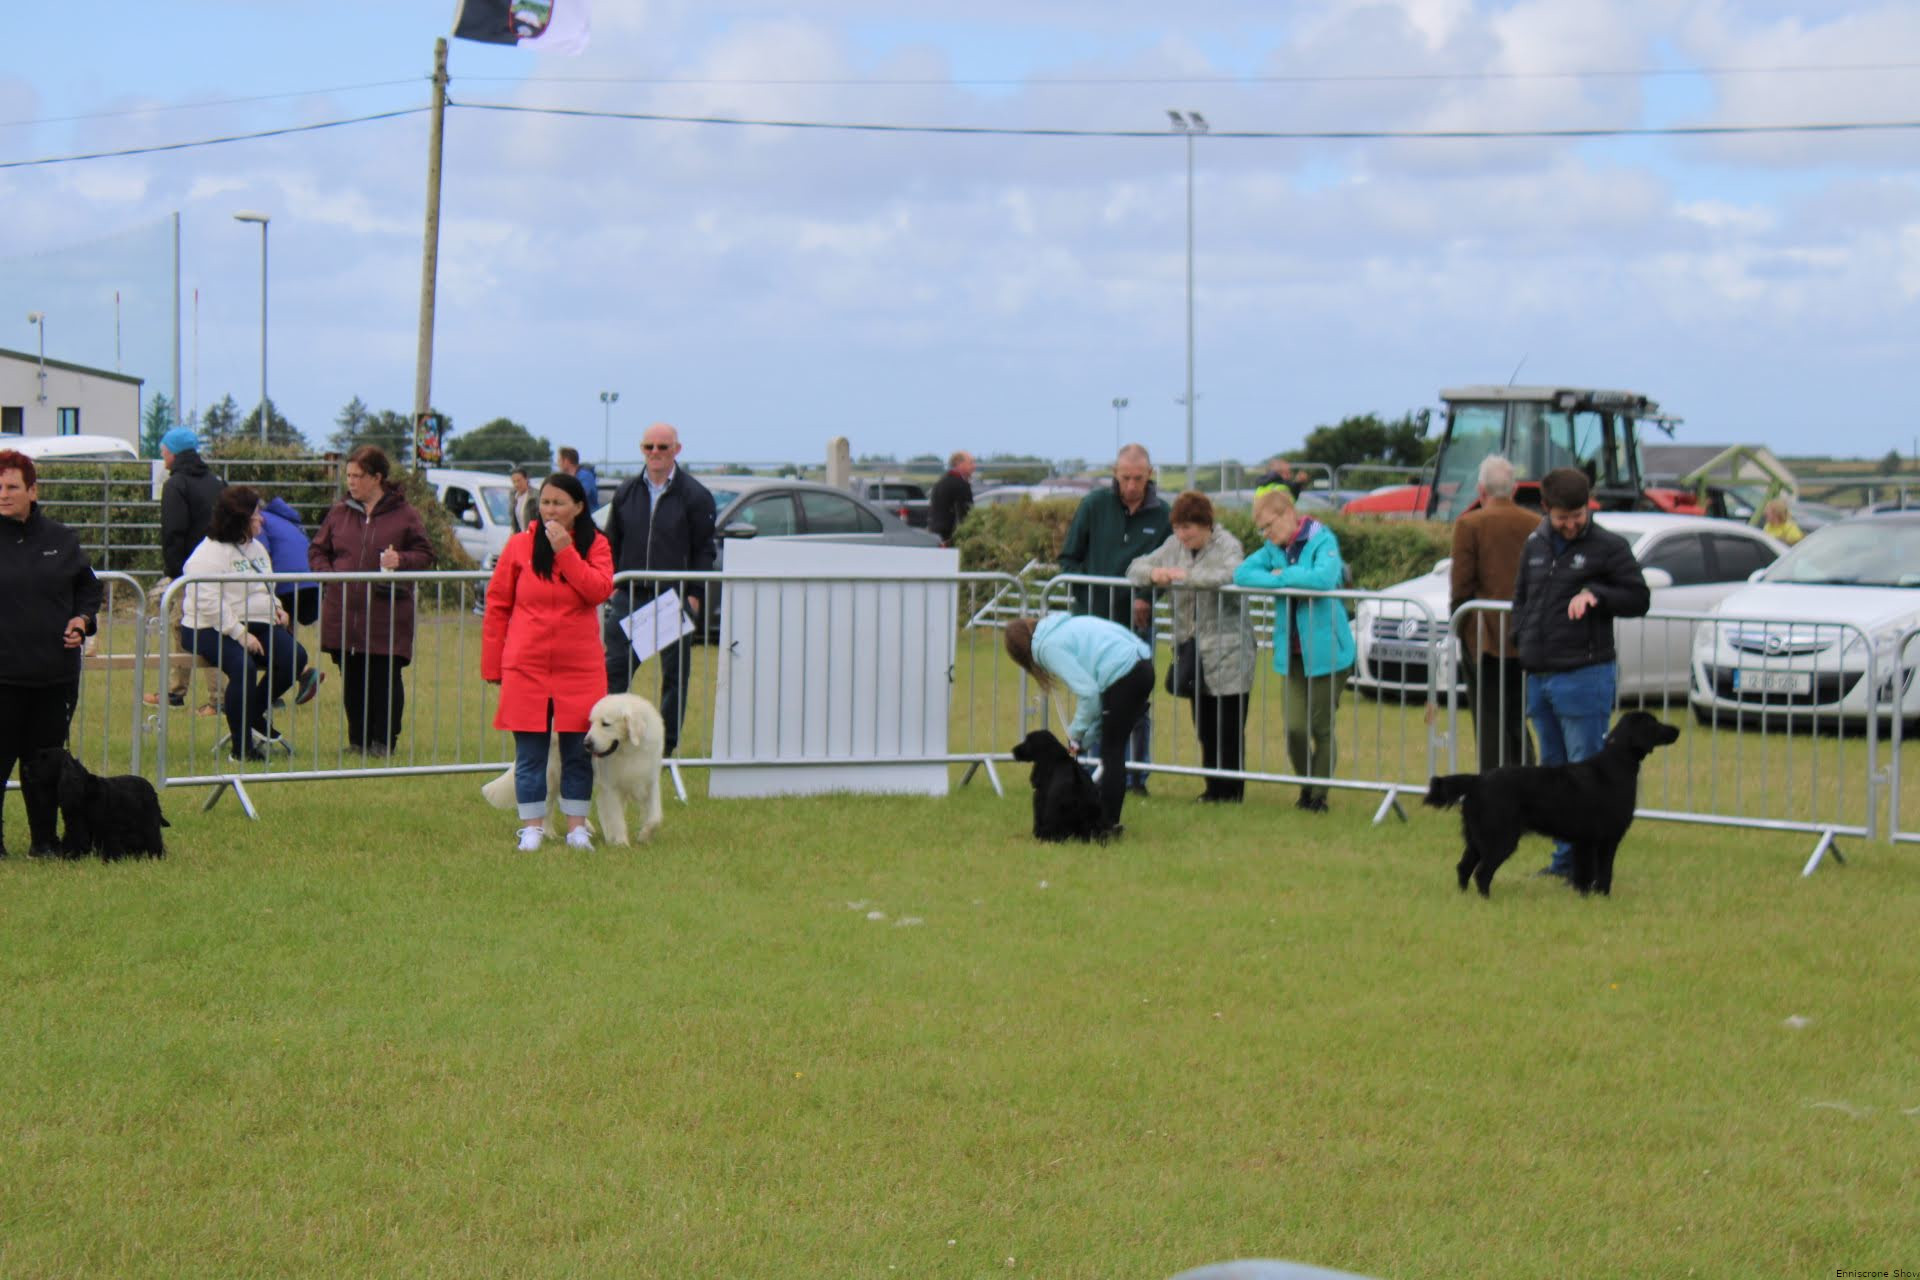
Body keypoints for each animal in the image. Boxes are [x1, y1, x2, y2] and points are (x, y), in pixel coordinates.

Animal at [38, 747, 169, 861]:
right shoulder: (75, 825)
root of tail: (151, 788)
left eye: (44, 758)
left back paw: (157, 857)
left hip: (149, 824)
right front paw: (70, 857)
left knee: (154, 841)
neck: (83, 790)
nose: (29, 768)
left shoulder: (106, 828)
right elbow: (74, 841)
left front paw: (110, 859)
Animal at [481, 693, 666, 846]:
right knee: (547, 805)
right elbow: (616, 818)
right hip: (551, 773)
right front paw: (621, 843)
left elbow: (656, 816)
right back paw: (550, 834)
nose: (586, 743)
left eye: (605, 724)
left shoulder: (650, 780)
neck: (629, 750)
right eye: (590, 723)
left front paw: (644, 835)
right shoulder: (609, 787)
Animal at [1424, 709, 1680, 897]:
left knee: (1463, 867)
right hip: (1500, 838)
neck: (1616, 764)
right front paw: (1602, 898)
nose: (1677, 730)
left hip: (1477, 838)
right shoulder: (1606, 838)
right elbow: (1604, 873)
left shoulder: (1584, 840)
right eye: (1655, 724)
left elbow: (1584, 874)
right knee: (1482, 872)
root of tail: (1478, 780)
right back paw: (1487, 899)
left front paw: (1584, 897)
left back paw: (1464, 897)